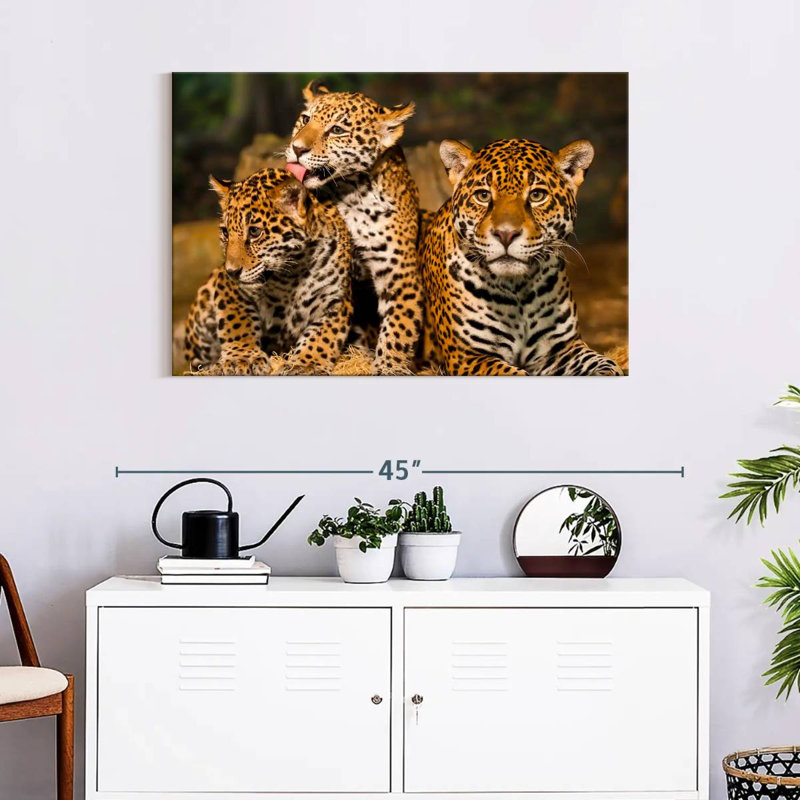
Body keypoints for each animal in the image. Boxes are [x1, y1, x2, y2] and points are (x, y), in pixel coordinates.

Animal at [184, 167, 353, 376]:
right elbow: (237, 321)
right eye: (225, 233)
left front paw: (306, 364)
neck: (293, 272)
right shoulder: (228, 288)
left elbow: (323, 337)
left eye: (255, 232)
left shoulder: (336, 300)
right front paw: (242, 358)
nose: (231, 271)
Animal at [284, 81, 423, 375]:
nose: (297, 148)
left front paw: (389, 366)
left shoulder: (401, 274)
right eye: (305, 119)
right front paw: (305, 362)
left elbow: (399, 327)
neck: (352, 194)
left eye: (337, 130)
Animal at [420, 138, 623, 376]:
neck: (517, 290)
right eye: (483, 196)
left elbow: (605, 364)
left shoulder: (562, 348)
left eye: (537, 196)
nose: (506, 234)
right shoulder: (467, 357)